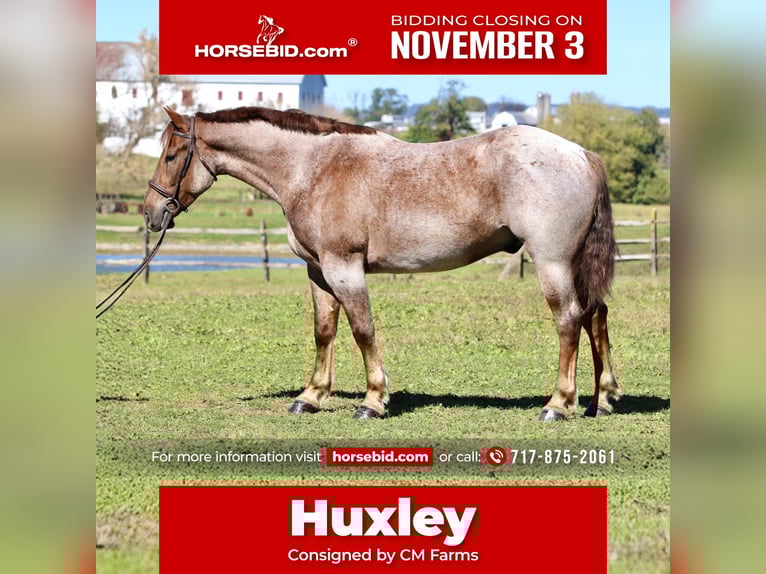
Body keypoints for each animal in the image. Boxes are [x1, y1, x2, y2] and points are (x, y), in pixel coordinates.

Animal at [144, 106, 621, 421]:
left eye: (171, 156)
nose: (151, 213)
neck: (312, 169)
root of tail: (584, 155)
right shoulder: (318, 272)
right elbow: (325, 332)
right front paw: (311, 396)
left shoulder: (345, 269)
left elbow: (362, 330)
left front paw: (373, 400)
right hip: (574, 265)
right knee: (595, 316)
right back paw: (601, 399)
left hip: (552, 262)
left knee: (569, 321)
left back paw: (558, 404)